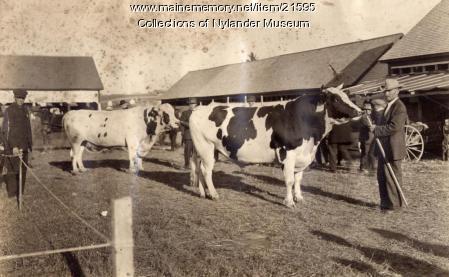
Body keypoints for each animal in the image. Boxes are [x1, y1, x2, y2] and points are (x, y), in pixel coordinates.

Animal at [188, 85, 360, 206]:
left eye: (347, 96)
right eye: (336, 99)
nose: (359, 111)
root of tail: (199, 108)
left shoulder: (302, 156)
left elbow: (298, 179)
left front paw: (299, 197)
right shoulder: (287, 153)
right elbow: (289, 180)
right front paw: (289, 202)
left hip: (205, 150)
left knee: (199, 169)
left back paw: (204, 193)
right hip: (206, 147)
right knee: (206, 170)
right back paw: (214, 194)